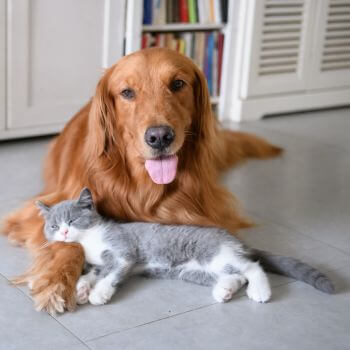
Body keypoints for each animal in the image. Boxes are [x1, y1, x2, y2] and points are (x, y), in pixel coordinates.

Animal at [2, 47, 282, 314]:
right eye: (127, 92)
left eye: (178, 84)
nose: (159, 137)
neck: (142, 187)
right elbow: (69, 245)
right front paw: (58, 283)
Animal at [37, 189, 334, 306]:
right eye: (53, 225)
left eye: (72, 220)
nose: (63, 232)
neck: (89, 243)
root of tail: (235, 240)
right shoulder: (99, 263)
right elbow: (93, 273)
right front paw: (82, 288)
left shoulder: (122, 253)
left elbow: (111, 274)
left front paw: (99, 293)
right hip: (194, 271)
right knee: (235, 276)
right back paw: (225, 291)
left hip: (214, 253)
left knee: (252, 266)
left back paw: (260, 291)